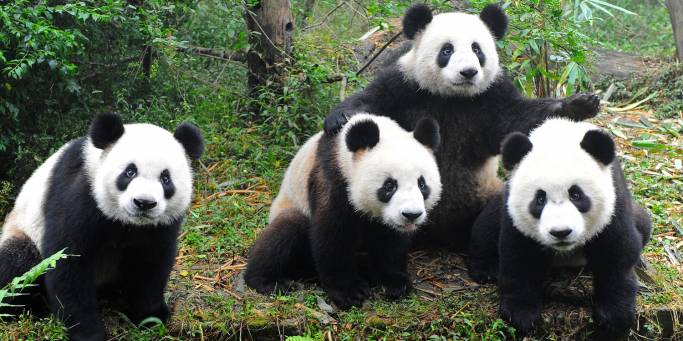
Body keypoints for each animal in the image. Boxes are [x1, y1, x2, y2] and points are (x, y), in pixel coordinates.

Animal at [0, 113, 203, 340]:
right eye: (130, 172)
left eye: (165, 178)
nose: (144, 203)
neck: (128, 222)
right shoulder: (79, 194)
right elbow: (68, 262)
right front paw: (88, 332)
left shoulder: (160, 225)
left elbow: (151, 263)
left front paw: (151, 317)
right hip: (21, 230)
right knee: (19, 263)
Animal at [246, 114, 444, 308]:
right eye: (389, 185)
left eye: (422, 184)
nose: (411, 215)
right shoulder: (333, 178)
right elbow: (333, 235)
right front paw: (349, 292)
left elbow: (391, 240)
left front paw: (395, 282)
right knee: (286, 229)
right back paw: (267, 280)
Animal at [324, 3, 600, 248]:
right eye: (447, 50)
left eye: (477, 49)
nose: (468, 72)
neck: (453, 97)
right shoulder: (404, 86)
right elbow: (372, 101)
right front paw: (339, 119)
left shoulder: (491, 97)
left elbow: (519, 120)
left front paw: (580, 104)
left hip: (485, 192)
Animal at [470, 118, 652, 336]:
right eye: (540, 199)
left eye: (576, 194)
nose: (561, 232)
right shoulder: (514, 216)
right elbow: (519, 257)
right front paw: (521, 315)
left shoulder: (614, 204)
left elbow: (617, 254)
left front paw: (614, 318)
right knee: (486, 228)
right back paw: (485, 269)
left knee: (644, 224)